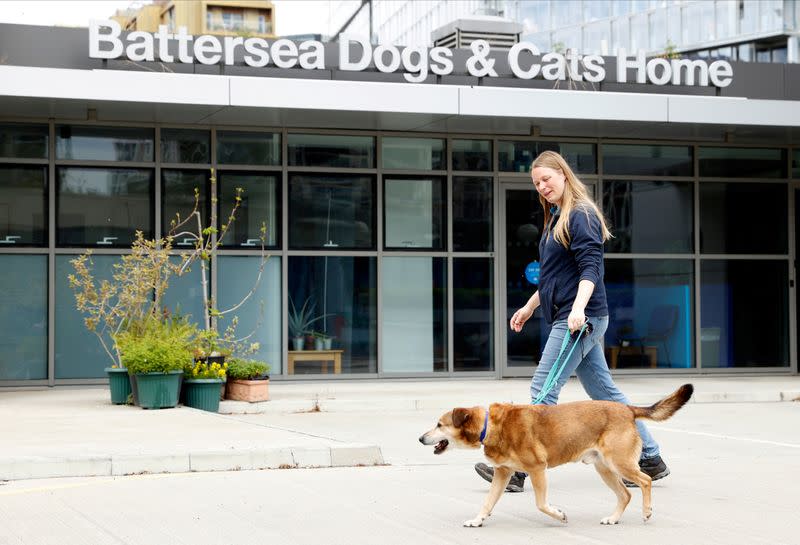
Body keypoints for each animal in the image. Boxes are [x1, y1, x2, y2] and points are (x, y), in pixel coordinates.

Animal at [418, 382, 692, 528]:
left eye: (439, 424)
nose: (420, 439)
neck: (490, 425)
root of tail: (627, 409)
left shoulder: (538, 469)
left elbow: (541, 504)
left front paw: (559, 515)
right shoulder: (503, 473)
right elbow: (488, 502)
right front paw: (477, 520)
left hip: (619, 462)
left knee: (645, 481)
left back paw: (646, 510)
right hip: (604, 468)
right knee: (625, 495)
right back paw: (613, 518)